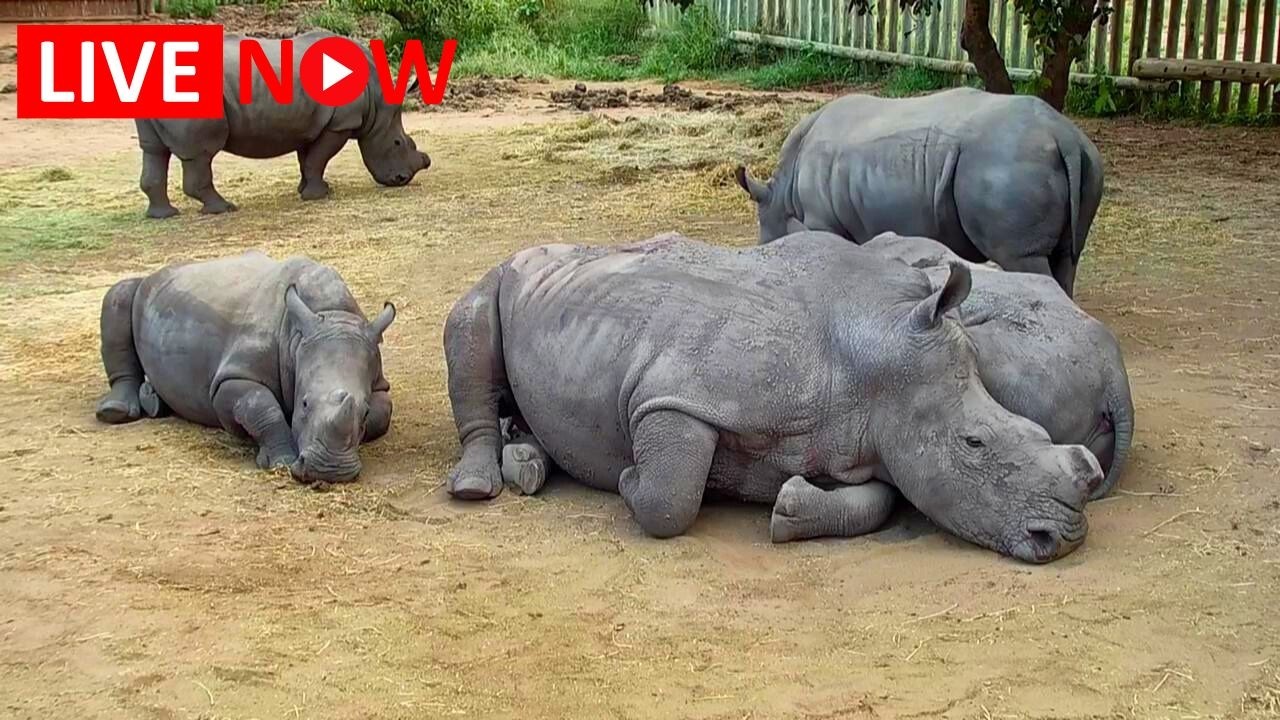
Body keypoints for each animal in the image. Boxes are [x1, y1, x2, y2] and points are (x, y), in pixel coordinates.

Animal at [95, 251, 396, 484]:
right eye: (304, 404)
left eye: (363, 411)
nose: (330, 471)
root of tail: (161, 270)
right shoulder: (233, 376)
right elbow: (260, 405)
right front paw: (280, 462)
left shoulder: (378, 381)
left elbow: (382, 415)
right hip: (144, 287)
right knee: (119, 293)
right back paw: (115, 413)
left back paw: (155, 403)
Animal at [136, 30, 430, 218]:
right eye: (398, 143)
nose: (401, 180)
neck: (378, 102)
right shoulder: (339, 123)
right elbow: (317, 159)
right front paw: (317, 196)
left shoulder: (312, 122)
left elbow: (308, 159)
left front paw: (312, 190)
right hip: (188, 89)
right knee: (201, 153)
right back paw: (223, 209)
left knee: (153, 150)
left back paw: (163, 215)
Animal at [441, 232, 1104, 563]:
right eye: (974, 443)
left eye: (1040, 433)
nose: (1066, 538)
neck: (873, 361)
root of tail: (522, 251)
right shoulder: (674, 394)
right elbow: (670, 497)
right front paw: (628, 479)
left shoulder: (862, 440)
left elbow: (880, 501)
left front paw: (789, 507)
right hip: (500, 276)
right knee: (468, 330)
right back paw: (478, 487)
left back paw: (529, 463)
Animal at [735, 87, 1104, 297]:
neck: (781, 194)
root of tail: (1062, 134)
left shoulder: (821, 220)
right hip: (1085, 160)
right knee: (1067, 258)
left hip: (1008, 161)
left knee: (1022, 258)